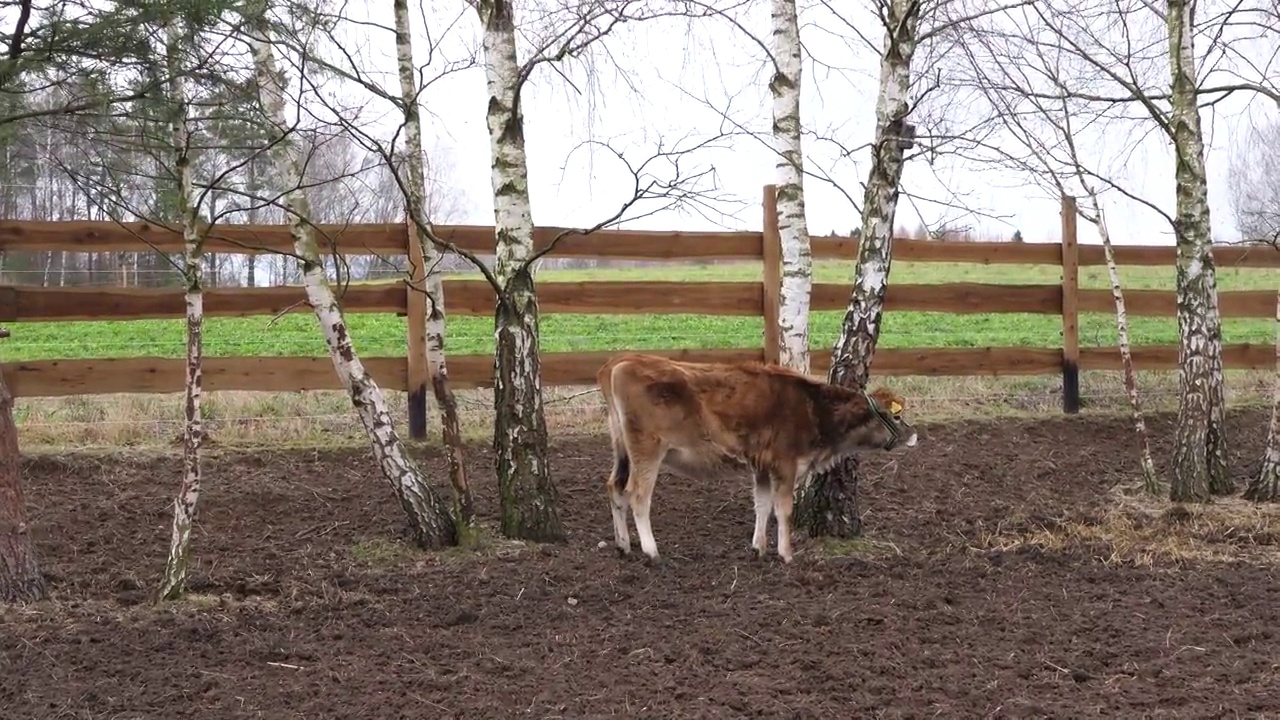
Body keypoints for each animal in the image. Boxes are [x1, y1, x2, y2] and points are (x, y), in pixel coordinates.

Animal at [593, 351, 916, 561]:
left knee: (615, 488)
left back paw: (623, 544)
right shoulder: (786, 464)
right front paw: (786, 554)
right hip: (647, 450)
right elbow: (783, 509)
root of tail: (620, 362)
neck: (812, 407)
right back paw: (651, 551)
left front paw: (758, 547)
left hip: (622, 450)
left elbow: (762, 505)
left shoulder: (762, 466)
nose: (913, 435)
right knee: (638, 495)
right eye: (895, 415)